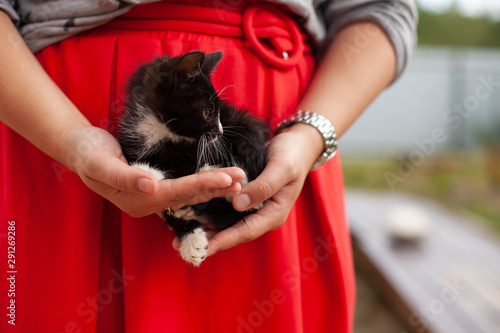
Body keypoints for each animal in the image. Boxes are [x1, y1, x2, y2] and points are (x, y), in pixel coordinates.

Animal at [117, 51, 270, 264]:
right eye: (207, 113)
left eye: (218, 112)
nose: (220, 133)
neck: (162, 132)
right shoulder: (131, 143)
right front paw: (192, 240)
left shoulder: (211, 148)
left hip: (246, 126)